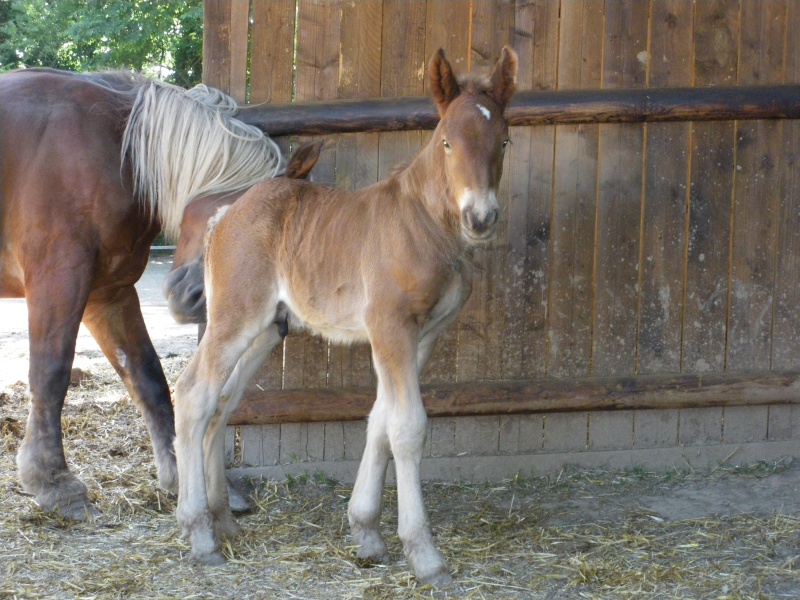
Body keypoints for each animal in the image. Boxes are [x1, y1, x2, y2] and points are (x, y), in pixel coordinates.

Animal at [0, 69, 282, 520]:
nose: (196, 299)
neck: (115, 152)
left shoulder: (108, 293)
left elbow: (148, 376)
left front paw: (183, 476)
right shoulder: (58, 279)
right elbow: (51, 373)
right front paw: (54, 483)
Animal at [175, 48, 520, 584]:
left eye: (503, 139)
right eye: (446, 141)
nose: (480, 218)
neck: (423, 223)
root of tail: (224, 216)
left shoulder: (423, 336)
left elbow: (381, 420)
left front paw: (367, 533)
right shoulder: (391, 327)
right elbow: (407, 427)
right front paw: (424, 555)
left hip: (266, 331)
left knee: (223, 402)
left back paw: (224, 522)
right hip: (234, 319)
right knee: (193, 394)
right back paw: (200, 535)